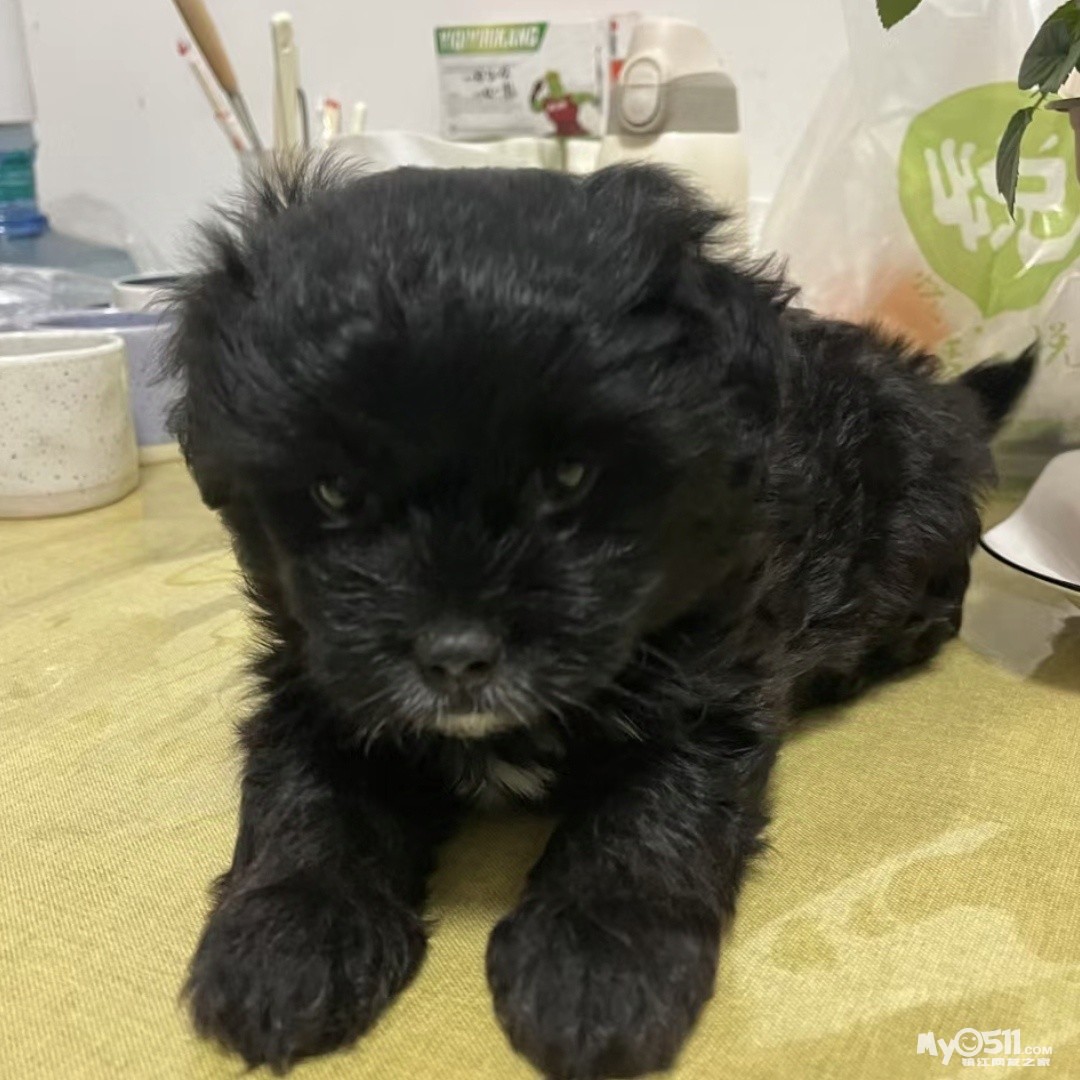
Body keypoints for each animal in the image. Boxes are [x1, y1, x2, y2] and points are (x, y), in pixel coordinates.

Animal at [167, 160, 1033, 1079]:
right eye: (334, 491)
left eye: (570, 477)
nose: (457, 657)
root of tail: (940, 392)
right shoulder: (317, 682)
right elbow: (307, 800)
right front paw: (285, 939)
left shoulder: (706, 681)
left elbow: (646, 815)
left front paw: (598, 969)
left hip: (919, 518)